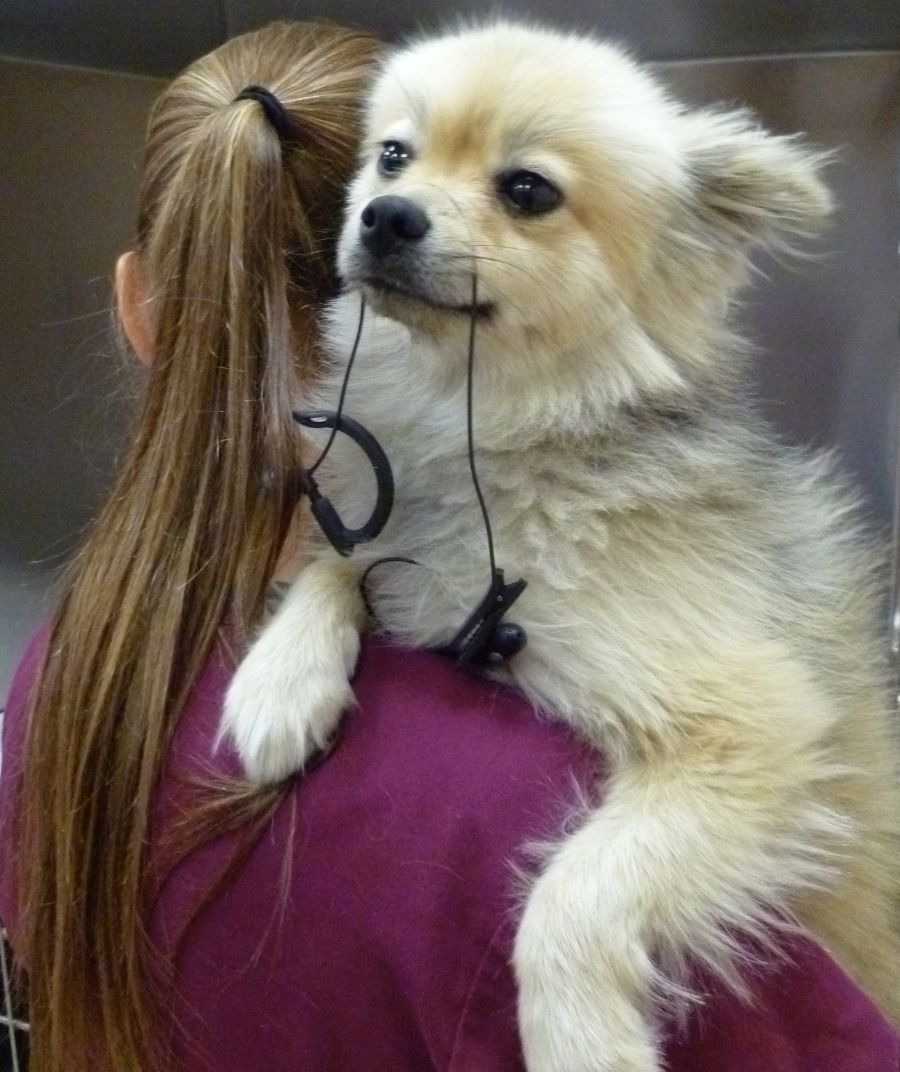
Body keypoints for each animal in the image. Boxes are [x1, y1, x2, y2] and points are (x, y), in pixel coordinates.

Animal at [219, 18, 900, 1072]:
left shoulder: (752, 733)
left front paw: (583, 1039)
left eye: (528, 191)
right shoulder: (401, 546)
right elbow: (336, 562)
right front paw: (278, 682)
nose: (384, 215)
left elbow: (574, 892)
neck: (494, 441)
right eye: (393, 156)